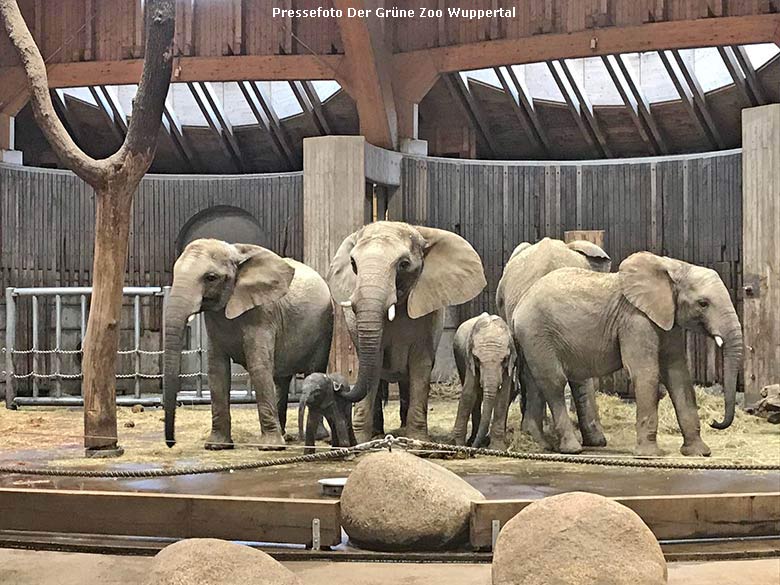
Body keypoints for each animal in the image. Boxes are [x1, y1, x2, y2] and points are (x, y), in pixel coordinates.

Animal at [163, 237, 334, 448]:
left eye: (211, 278)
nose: (171, 443)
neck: (237, 254)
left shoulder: (263, 313)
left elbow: (258, 366)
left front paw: (270, 447)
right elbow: (217, 370)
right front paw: (216, 446)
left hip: (324, 327)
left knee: (313, 371)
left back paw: (317, 437)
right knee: (281, 379)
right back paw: (284, 435)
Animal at [330, 221, 488, 440]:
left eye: (403, 264)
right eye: (353, 264)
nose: (337, 386)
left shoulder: (428, 319)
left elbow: (420, 366)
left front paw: (417, 440)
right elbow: (373, 365)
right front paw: (362, 441)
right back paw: (378, 434)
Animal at [450, 312, 516, 450]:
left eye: (504, 359)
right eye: (477, 359)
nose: (475, 448)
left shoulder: (510, 365)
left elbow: (503, 396)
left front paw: (497, 448)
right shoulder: (468, 359)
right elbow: (468, 394)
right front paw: (458, 445)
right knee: (476, 398)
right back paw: (472, 440)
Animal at [512, 251, 744, 456]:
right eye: (703, 304)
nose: (714, 422)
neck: (672, 267)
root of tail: (518, 307)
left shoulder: (667, 320)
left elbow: (677, 374)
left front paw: (699, 453)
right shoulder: (634, 319)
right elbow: (646, 373)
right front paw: (649, 455)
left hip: (534, 337)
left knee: (536, 382)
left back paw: (540, 443)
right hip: (537, 331)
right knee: (554, 382)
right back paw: (572, 449)